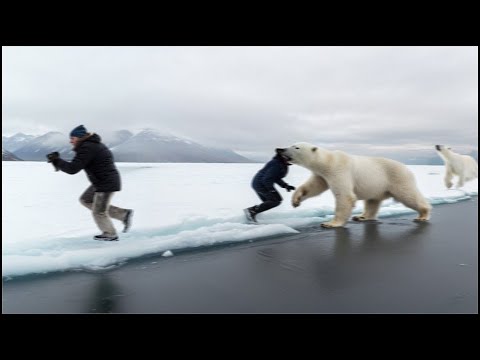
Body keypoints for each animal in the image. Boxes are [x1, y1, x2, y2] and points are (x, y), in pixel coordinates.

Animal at [278, 143, 432, 228]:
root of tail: (407, 168)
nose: (280, 149)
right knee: (372, 201)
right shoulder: (322, 175)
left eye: (296, 147)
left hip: (397, 178)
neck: (328, 161)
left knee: (408, 195)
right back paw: (361, 216)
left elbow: (344, 196)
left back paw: (423, 215)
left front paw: (330, 223)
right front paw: (295, 200)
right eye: (291, 144)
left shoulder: (339, 170)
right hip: (377, 185)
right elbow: (313, 188)